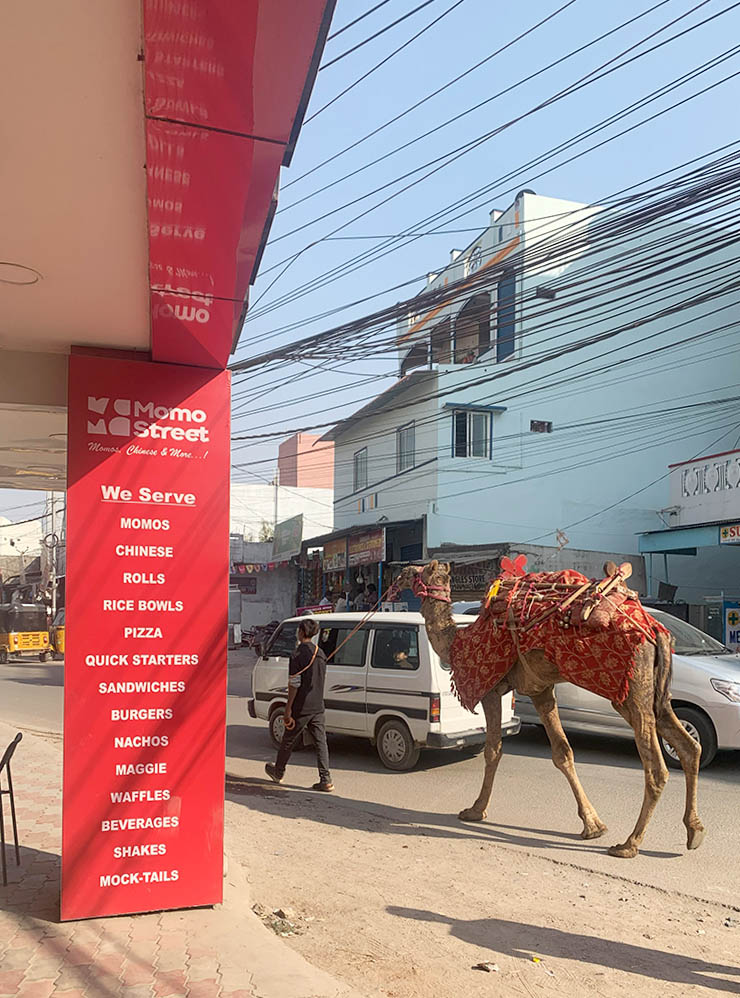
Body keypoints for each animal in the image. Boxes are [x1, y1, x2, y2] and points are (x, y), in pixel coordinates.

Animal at [394, 564, 704, 860]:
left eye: (417, 572)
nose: (400, 574)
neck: (458, 641)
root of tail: (656, 633)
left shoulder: (490, 688)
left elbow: (493, 750)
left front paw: (475, 810)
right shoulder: (539, 690)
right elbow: (562, 753)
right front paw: (593, 825)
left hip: (631, 690)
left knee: (657, 768)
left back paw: (630, 844)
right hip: (655, 694)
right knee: (690, 746)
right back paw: (694, 832)